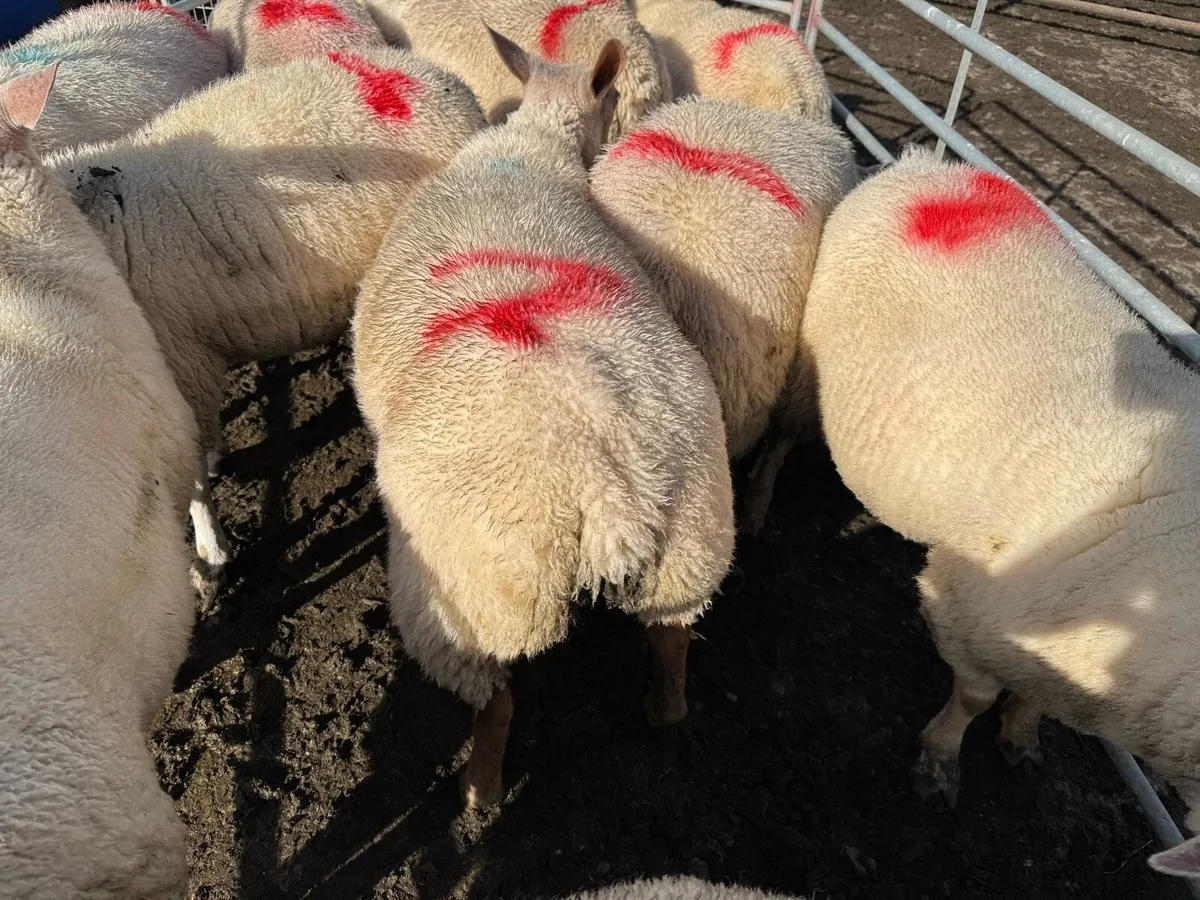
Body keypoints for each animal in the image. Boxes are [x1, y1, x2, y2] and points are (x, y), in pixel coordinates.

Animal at [352, 28, 734, 809]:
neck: (533, 146)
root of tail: (605, 486)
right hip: (694, 546)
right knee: (673, 641)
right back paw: (664, 714)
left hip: (476, 605)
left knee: (496, 702)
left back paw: (481, 793)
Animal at [800, 145, 1200, 879]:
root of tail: (927, 163)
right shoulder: (968, 610)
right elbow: (975, 697)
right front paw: (939, 763)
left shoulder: (1063, 648)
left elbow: (1034, 700)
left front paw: (1021, 738)